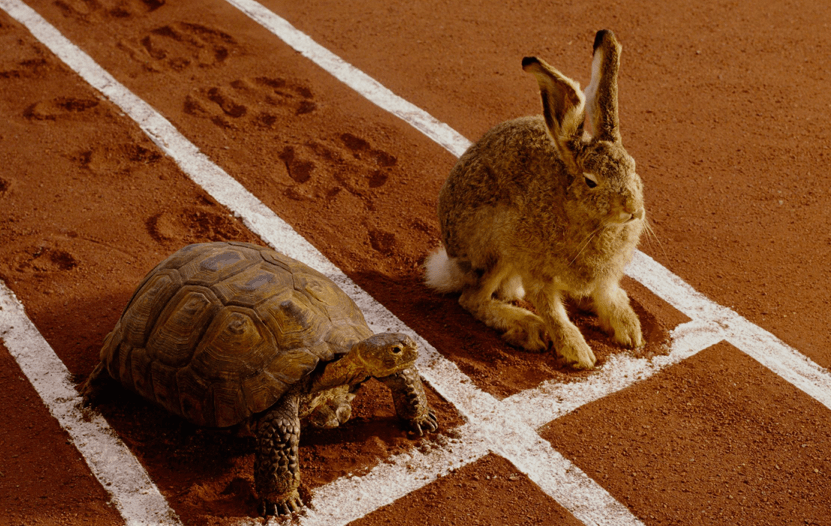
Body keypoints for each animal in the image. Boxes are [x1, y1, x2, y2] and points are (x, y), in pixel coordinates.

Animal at [424, 30, 645, 370]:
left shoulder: (606, 277)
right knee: (473, 299)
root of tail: (451, 263)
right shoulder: (535, 270)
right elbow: (553, 313)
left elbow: (607, 295)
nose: (633, 210)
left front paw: (630, 331)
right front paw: (578, 353)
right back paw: (527, 328)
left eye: (633, 167)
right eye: (591, 181)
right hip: (496, 247)